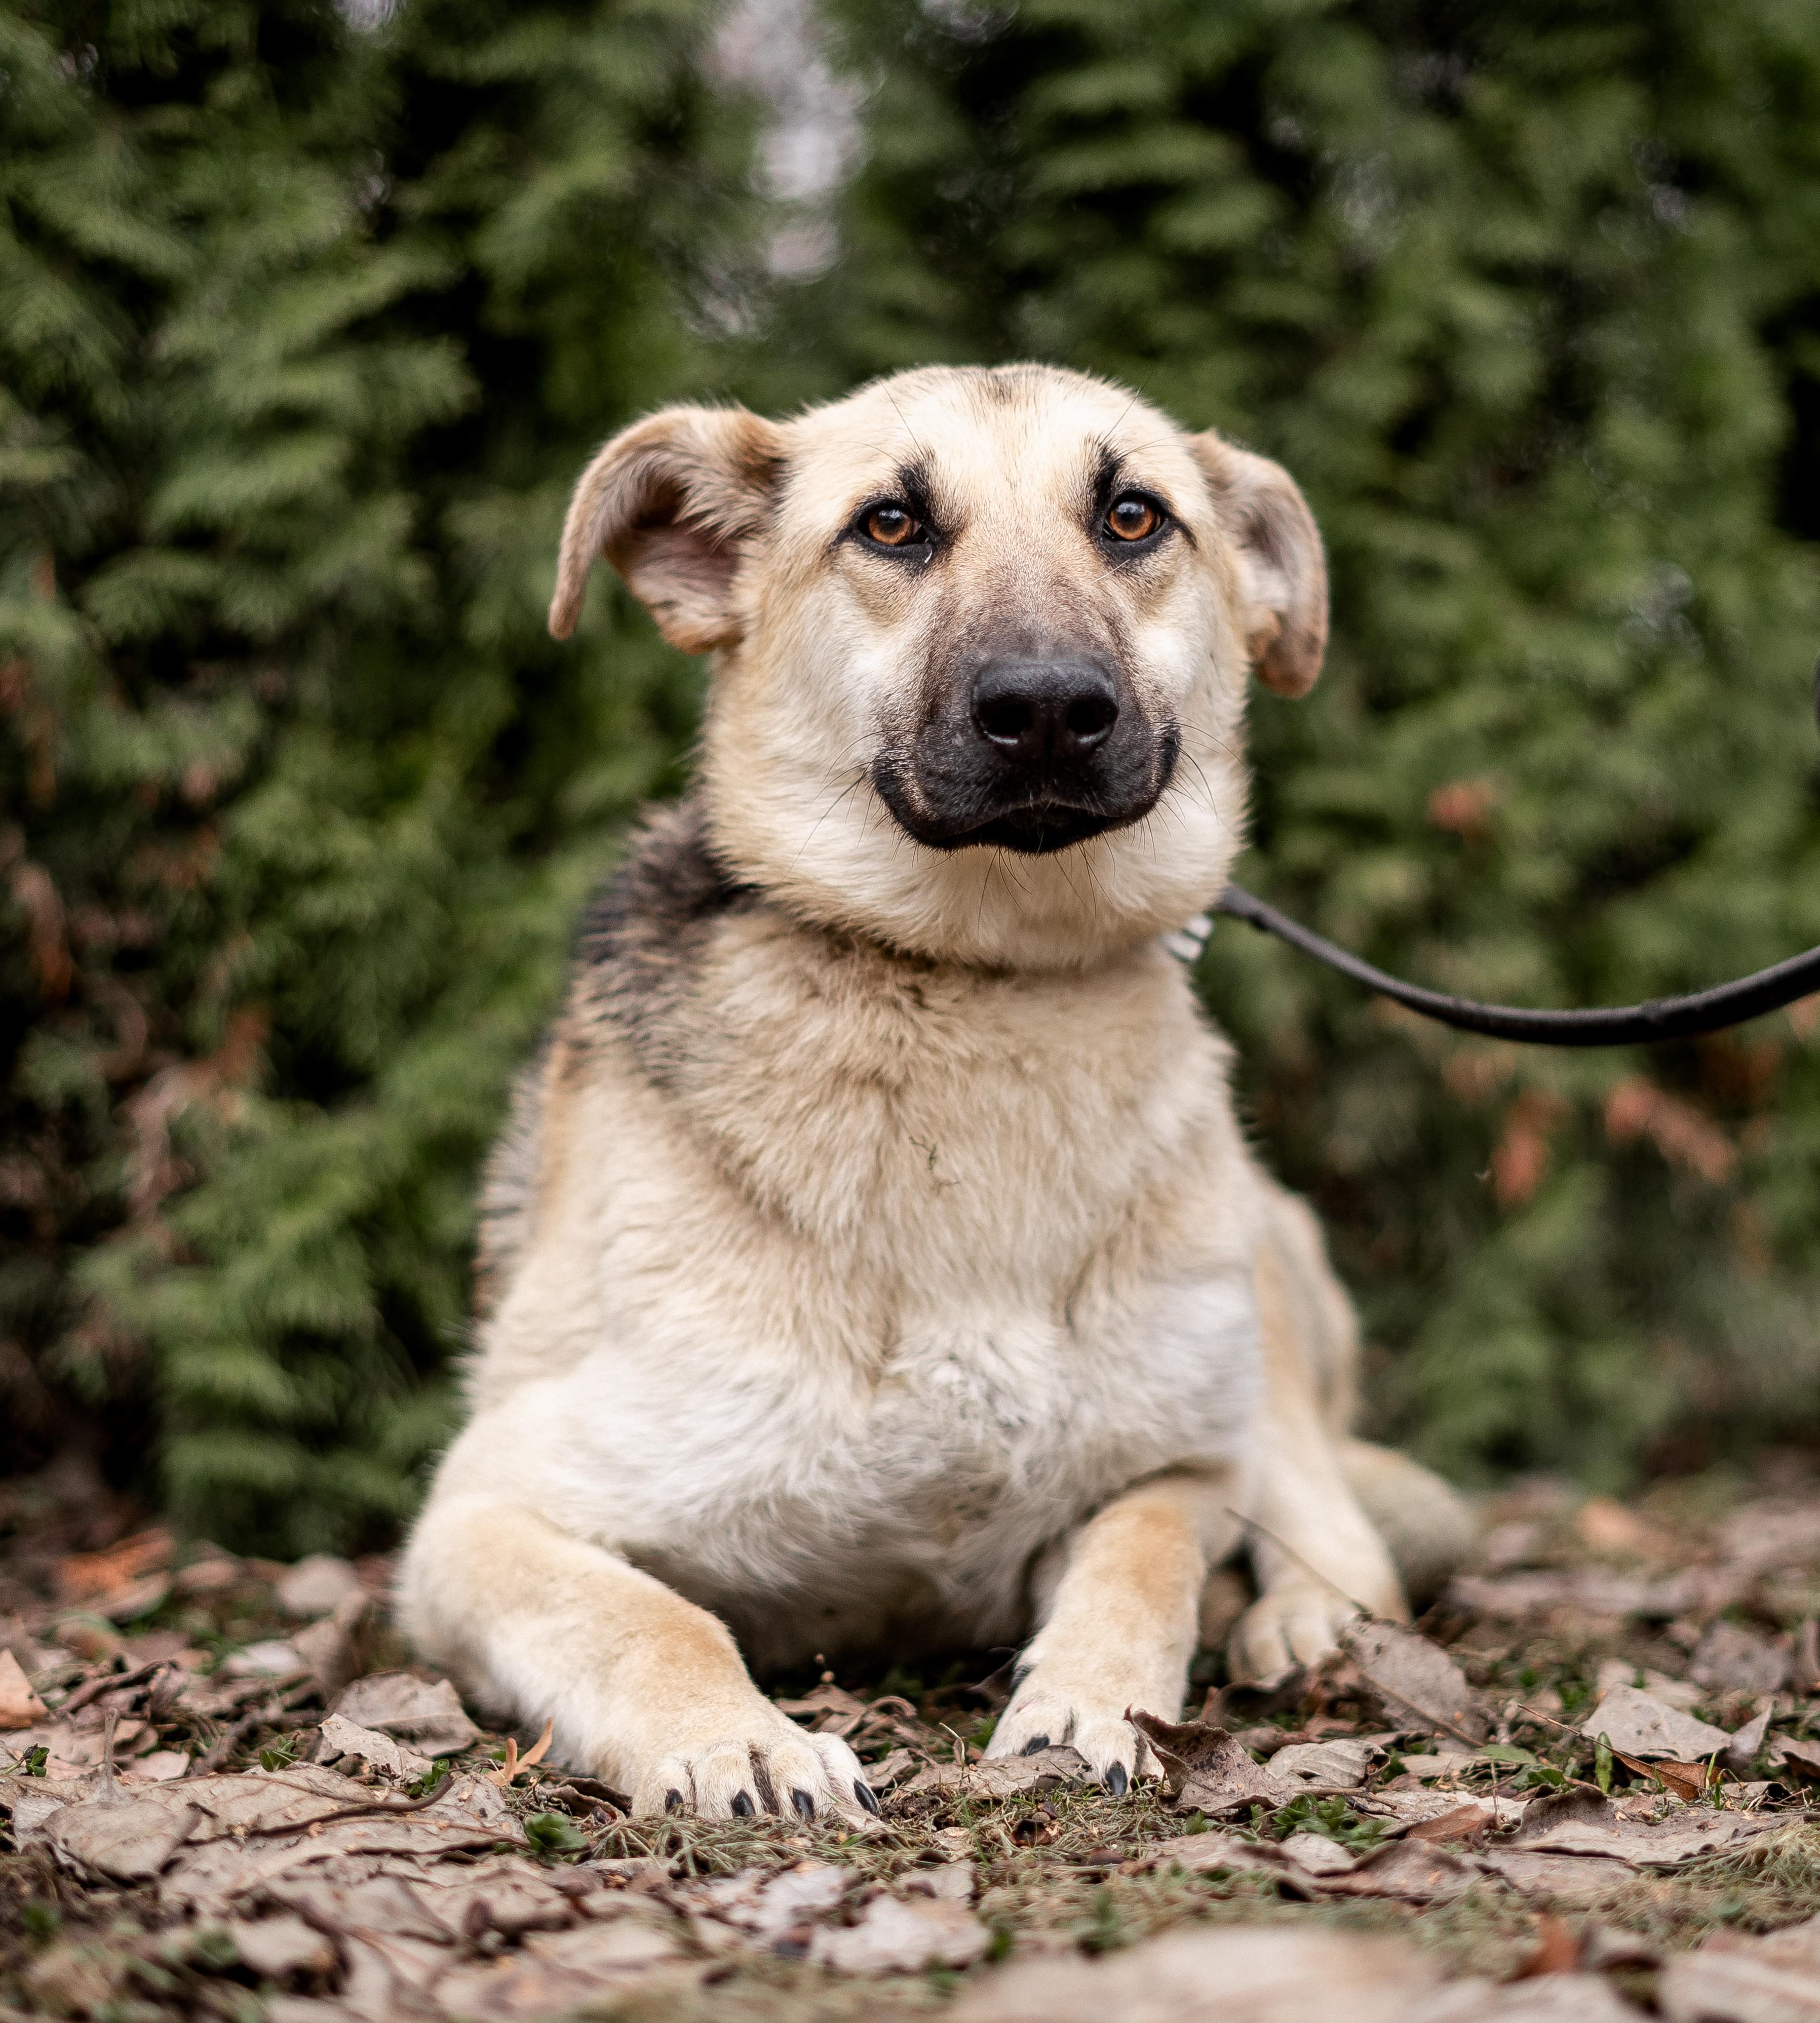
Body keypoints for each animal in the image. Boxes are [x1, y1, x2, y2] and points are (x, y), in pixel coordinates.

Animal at [394, 360, 1464, 1820]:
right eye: (891, 525)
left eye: (1132, 515)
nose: (1050, 707)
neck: (981, 976)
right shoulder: (482, 1513)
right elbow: (653, 1616)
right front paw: (735, 1738)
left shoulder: (1174, 1464)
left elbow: (1146, 1549)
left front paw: (1087, 1706)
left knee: (1338, 1522)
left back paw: (1307, 1623)